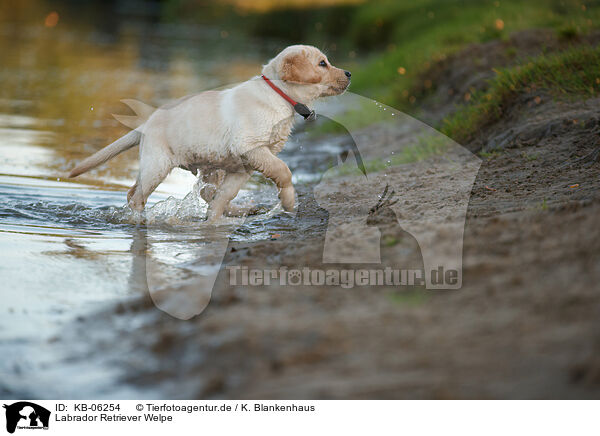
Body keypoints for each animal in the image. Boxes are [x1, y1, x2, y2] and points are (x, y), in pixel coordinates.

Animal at [69, 45, 352, 218]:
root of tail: (145, 124)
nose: (349, 73)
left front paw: (215, 221)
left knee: (203, 193)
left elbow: (222, 197)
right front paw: (290, 201)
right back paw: (141, 220)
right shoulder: (250, 147)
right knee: (136, 196)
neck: (278, 94)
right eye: (322, 64)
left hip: (203, 165)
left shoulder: (244, 165)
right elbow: (284, 170)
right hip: (156, 165)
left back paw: (238, 210)